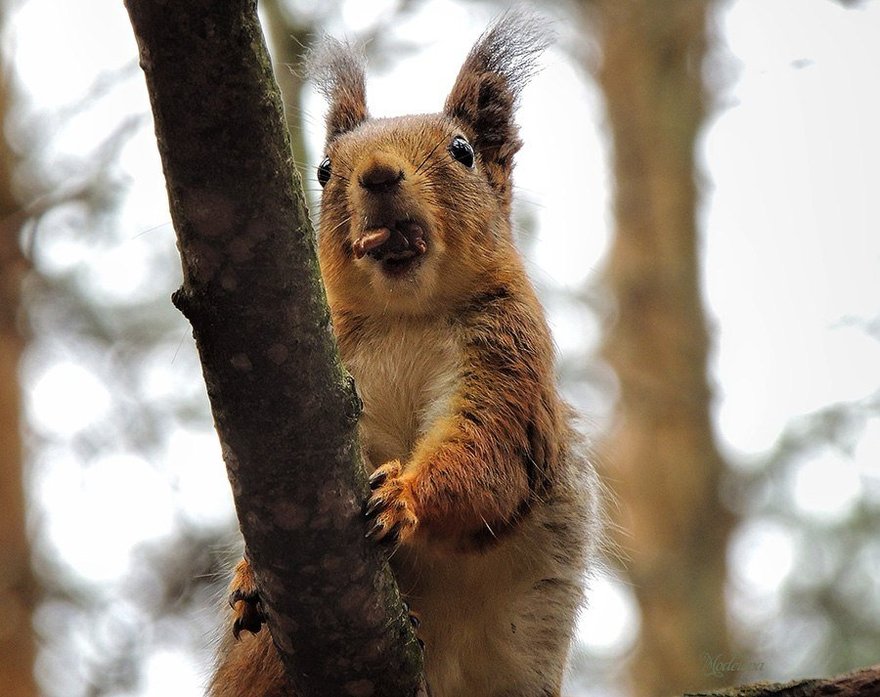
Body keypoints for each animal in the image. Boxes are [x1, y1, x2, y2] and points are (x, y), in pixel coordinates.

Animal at [210, 10, 600, 696]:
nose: (378, 173)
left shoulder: (508, 356)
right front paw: (251, 570)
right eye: (323, 170)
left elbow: (491, 454)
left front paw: (403, 497)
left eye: (462, 152)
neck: (405, 315)